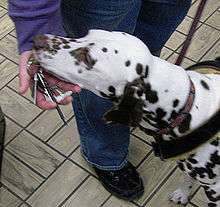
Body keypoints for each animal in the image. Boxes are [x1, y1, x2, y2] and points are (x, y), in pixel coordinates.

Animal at [31, 29, 220, 207]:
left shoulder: (215, 189)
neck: (188, 108)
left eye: (88, 58)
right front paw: (183, 193)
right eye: (86, 33)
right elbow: (188, 178)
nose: (37, 40)